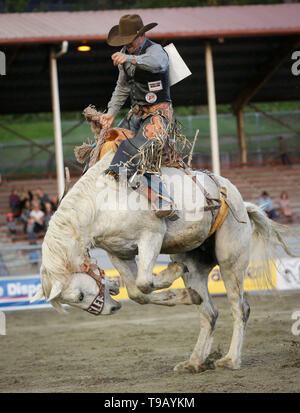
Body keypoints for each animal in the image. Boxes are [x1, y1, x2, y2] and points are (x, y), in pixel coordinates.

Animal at [31, 150, 294, 372]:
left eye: (79, 296)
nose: (111, 309)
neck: (99, 204)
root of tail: (240, 201)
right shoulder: (119, 253)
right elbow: (136, 291)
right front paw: (184, 295)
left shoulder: (151, 235)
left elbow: (145, 282)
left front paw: (171, 273)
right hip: (195, 264)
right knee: (209, 312)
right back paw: (194, 361)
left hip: (231, 261)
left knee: (240, 308)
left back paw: (230, 360)